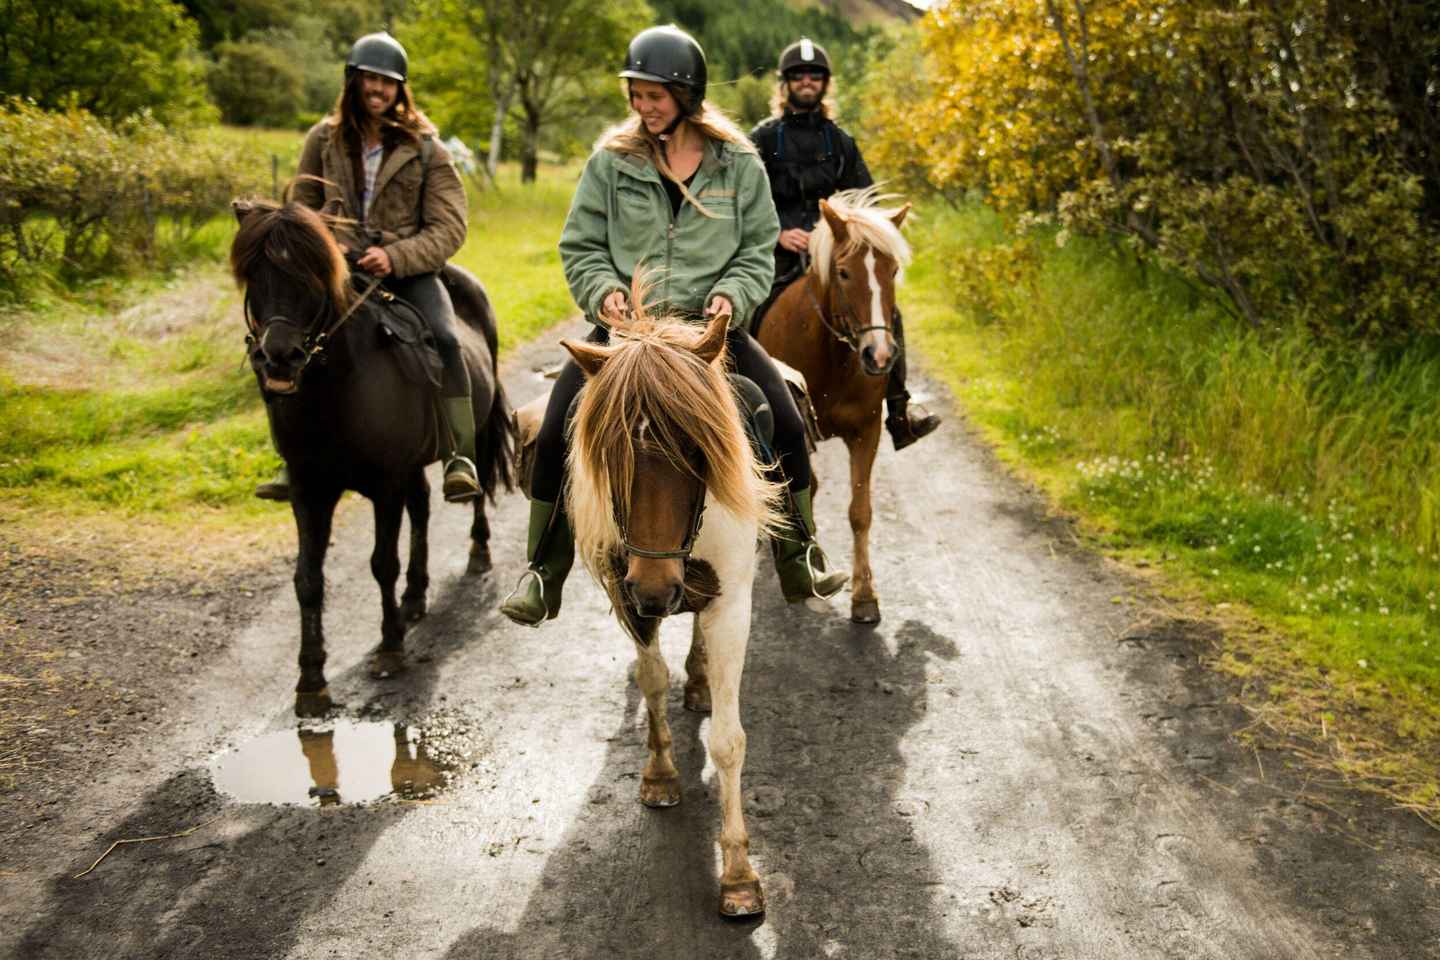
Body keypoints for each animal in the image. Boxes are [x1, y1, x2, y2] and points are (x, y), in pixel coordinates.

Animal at [230, 200, 514, 717]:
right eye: (253, 274)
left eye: (312, 274)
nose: (279, 358)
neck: (335, 392)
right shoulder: (310, 489)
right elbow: (307, 579)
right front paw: (310, 679)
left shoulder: (384, 485)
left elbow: (382, 563)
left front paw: (390, 649)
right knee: (421, 506)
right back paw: (415, 596)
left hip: (476, 431)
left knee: (476, 482)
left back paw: (477, 550)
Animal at [561, 303, 783, 918]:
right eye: (611, 456)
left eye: (696, 452)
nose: (658, 588)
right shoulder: (628, 594)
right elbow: (653, 680)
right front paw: (660, 774)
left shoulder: (731, 604)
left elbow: (728, 740)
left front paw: (738, 875)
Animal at [755, 188, 912, 625]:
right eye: (843, 272)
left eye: (893, 270)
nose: (879, 356)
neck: (833, 358)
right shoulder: (798, 433)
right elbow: (805, 490)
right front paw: (813, 572)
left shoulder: (866, 431)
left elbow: (860, 512)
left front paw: (865, 598)